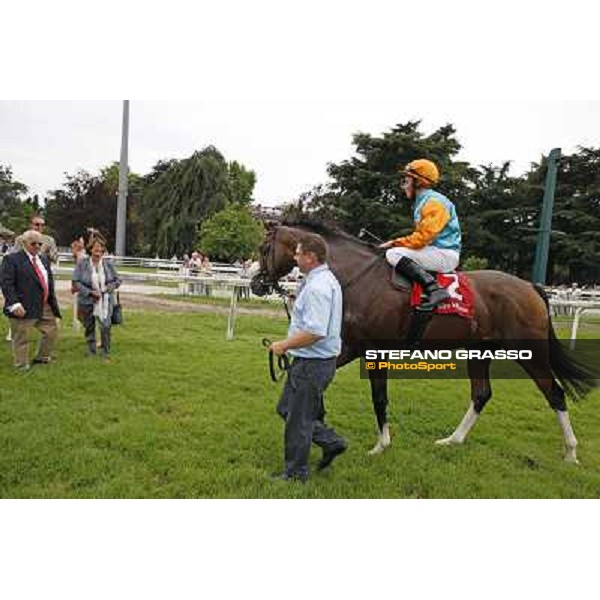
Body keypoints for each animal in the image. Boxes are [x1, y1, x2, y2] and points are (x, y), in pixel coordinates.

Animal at [250, 220, 596, 464]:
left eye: (263, 248)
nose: (256, 283)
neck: (359, 277)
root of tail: (531, 286)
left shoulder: (372, 350)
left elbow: (379, 398)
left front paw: (380, 445)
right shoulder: (351, 346)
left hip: (531, 353)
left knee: (555, 393)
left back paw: (571, 451)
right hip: (479, 350)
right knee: (482, 393)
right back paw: (453, 440)